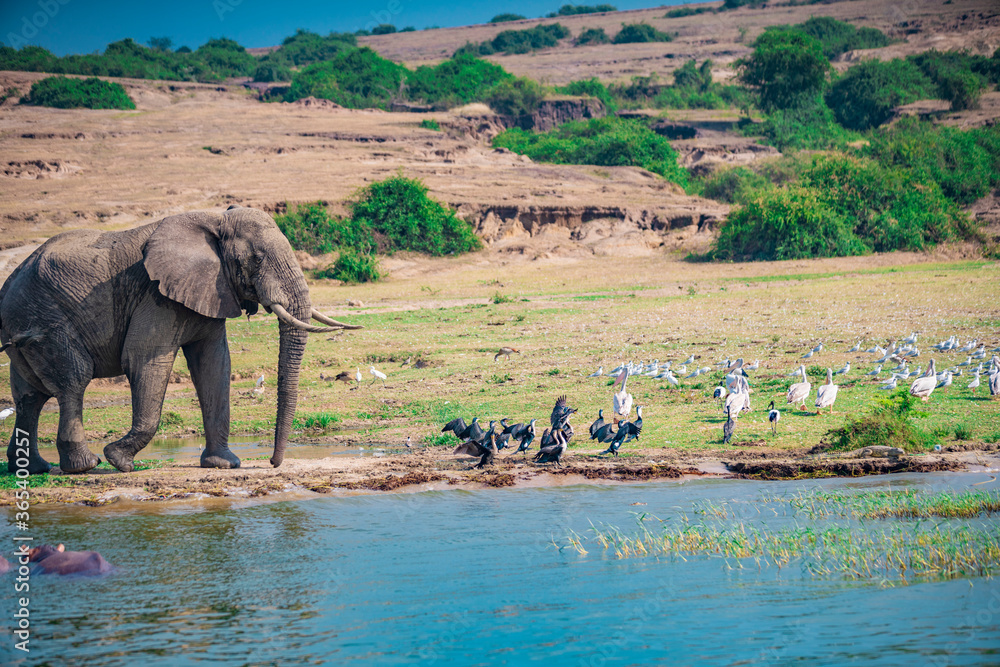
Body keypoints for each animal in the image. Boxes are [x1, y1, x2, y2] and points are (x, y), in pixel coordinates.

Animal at [0, 207, 360, 474]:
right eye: (257, 259)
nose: (273, 463)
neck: (215, 220)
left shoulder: (211, 289)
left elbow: (214, 364)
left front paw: (222, 464)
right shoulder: (155, 294)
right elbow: (145, 358)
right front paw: (119, 460)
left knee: (30, 396)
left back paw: (32, 468)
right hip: (46, 319)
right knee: (73, 380)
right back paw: (85, 465)